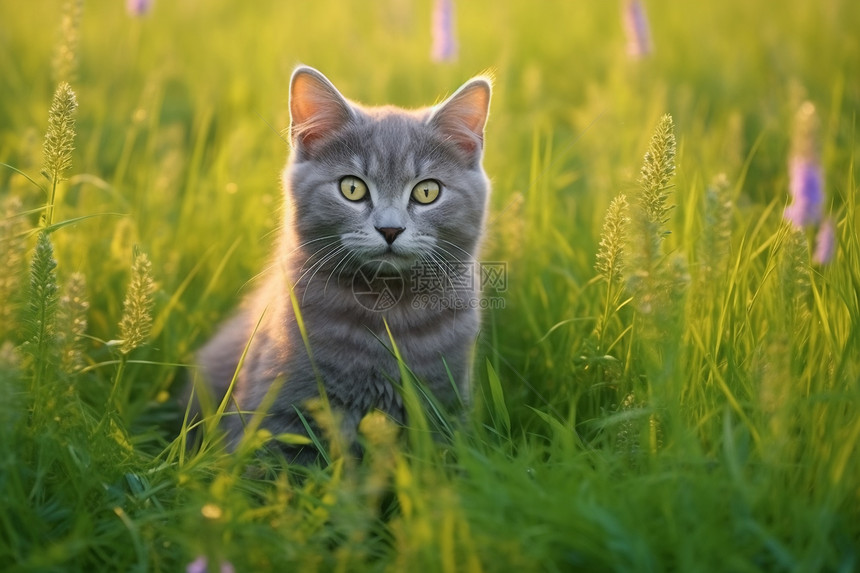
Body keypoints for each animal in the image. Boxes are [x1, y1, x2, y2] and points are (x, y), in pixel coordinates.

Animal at [193, 67, 490, 460]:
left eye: (427, 192)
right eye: (352, 188)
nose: (390, 229)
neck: (385, 312)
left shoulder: (446, 405)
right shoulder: (278, 411)